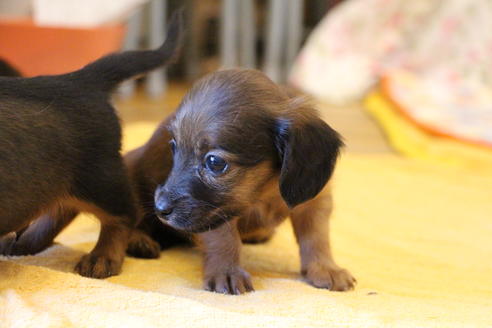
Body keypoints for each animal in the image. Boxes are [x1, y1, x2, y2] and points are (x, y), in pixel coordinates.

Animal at [0, 10, 183, 278]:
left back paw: (103, 257)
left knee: (124, 213)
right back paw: (23, 241)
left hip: (99, 178)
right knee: (59, 207)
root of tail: (81, 79)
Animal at [126, 68, 354, 294]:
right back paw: (139, 241)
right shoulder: (214, 213)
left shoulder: (313, 201)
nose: (159, 208)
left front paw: (325, 268)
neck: (266, 190)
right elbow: (224, 239)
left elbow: (317, 237)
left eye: (215, 162)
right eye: (173, 146)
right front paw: (226, 272)